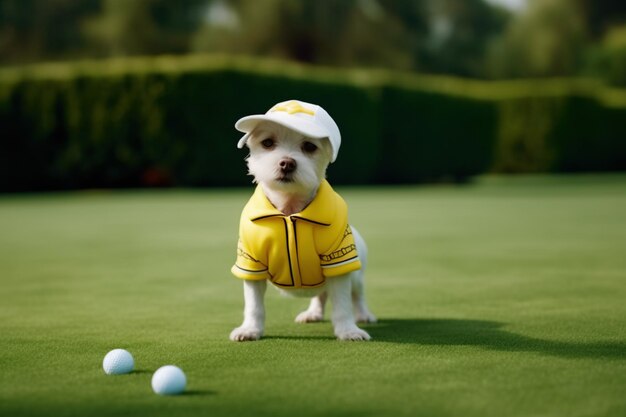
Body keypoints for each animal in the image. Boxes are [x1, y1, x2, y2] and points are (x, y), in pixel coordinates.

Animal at [229, 99, 376, 340]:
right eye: (267, 143)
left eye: (309, 146)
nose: (287, 163)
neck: (289, 210)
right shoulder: (251, 264)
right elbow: (254, 305)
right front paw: (250, 329)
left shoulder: (339, 266)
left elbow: (343, 304)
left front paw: (348, 330)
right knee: (321, 296)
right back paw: (313, 313)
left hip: (355, 275)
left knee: (356, 296)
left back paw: (363, 315)